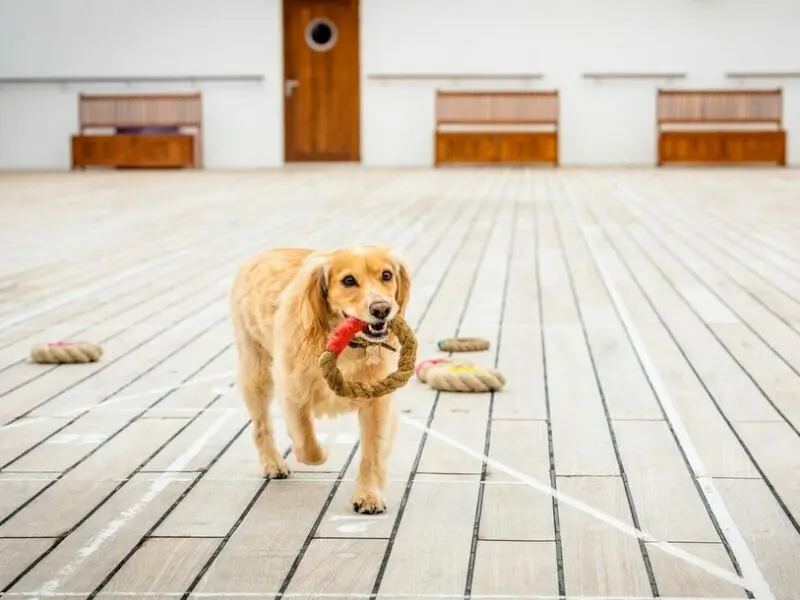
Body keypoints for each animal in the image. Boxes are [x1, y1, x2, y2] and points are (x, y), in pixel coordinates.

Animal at [227, 241, 410, 512]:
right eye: (348, 280)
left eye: (386, 275)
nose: (381, 309)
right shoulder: (292, 392)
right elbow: (306, 442)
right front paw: (320, 452)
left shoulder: (378, 403)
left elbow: (372, 452)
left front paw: (369, 495)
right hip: (255, 373)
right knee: (261, 426)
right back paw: (272, 463)